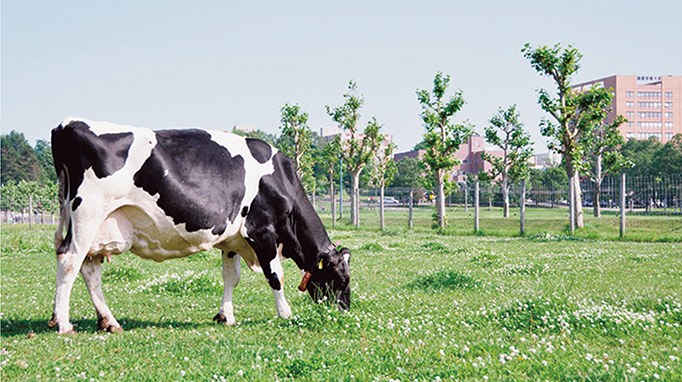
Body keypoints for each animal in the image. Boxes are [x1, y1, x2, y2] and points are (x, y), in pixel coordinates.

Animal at [47, 118, 350, 334]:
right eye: (342, 279)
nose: (344, 312)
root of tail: (66, 124)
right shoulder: (261, 230)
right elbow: (276, 275)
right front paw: (285, 314)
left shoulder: (232, 238)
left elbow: (231, 276)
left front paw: (226, 316)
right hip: (87, 216)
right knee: (69, 261)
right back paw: (64, 324)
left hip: (93, 224)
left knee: (90, 270)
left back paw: (108, 322)